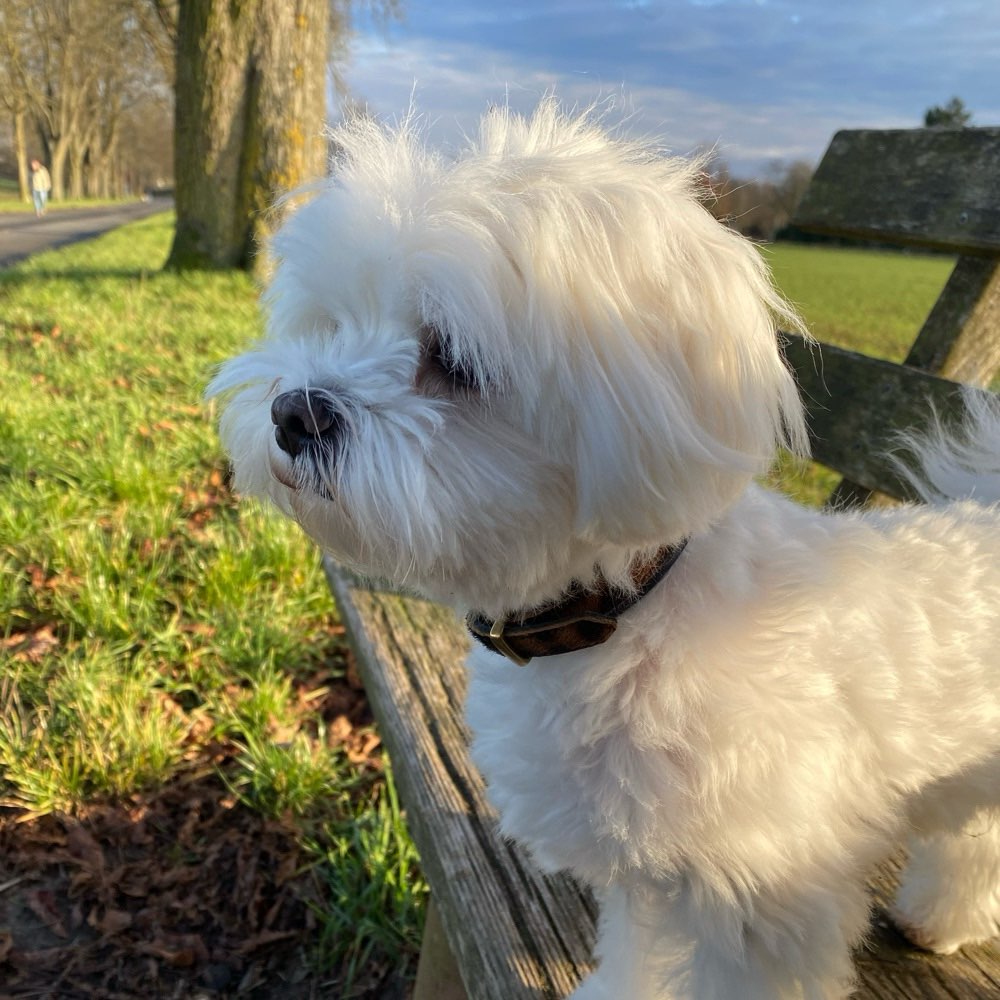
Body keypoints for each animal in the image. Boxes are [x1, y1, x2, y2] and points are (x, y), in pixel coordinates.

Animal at [211, 103, 1000, 1000]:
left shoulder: (765, 904)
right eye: (334, 322)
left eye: (454, 359)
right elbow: (639, 950)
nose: (294, 413)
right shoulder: (646, 870)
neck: (617, 619)